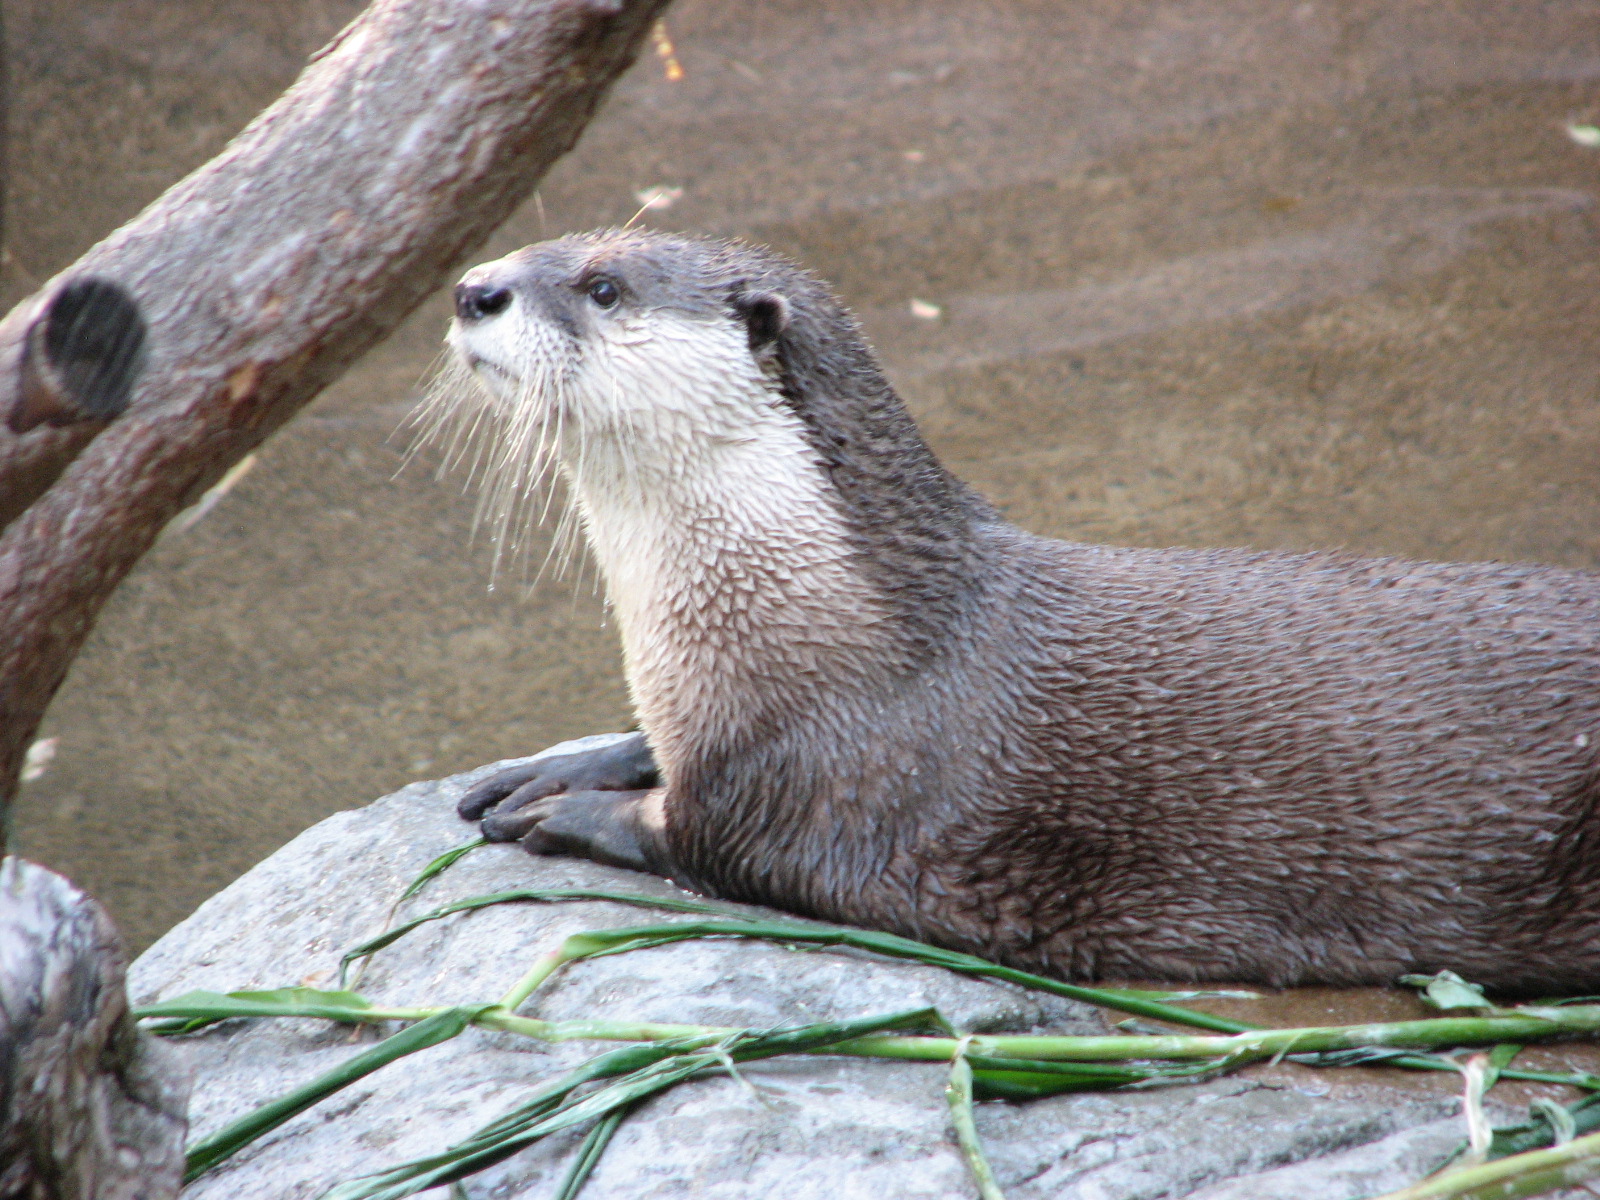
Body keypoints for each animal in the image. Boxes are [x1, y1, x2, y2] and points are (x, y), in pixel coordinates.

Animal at [430, 229, 1600, 993]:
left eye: (604, 286)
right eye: (538, 245)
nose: (472, 289)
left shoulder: (835, 785)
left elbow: (707, 838)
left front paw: (565, 812)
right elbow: (648, 750)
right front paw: (554, 766)